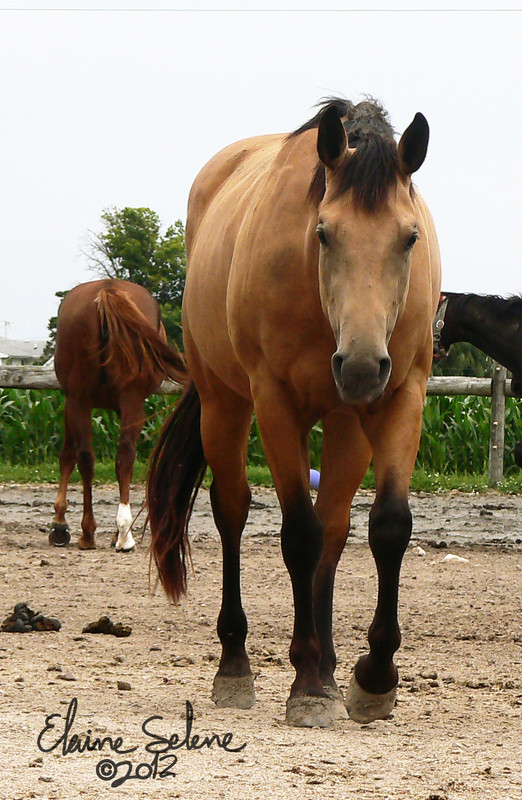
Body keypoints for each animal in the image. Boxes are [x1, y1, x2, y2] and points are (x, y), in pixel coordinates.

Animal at [50, 280, 185, 552]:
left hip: (85, 401)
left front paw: (59, 523)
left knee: (89, 457)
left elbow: (67, 455)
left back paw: (93, 532)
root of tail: (107, 288)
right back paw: (121, 533)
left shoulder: (72, 401)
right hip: (125, 402)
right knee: (121, 456)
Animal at [146, 98, 438, 724]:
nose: (360, 365)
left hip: (347, 422)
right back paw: (236, 666)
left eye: (409, 237)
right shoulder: (274, 401)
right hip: (225, 404)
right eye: (324, 233)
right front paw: (305, 682)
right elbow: (298, 534)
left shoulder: (401, 395)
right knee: (232, 511)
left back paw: (328, 665)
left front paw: (372, 679)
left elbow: (388, 526)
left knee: (335, 527)